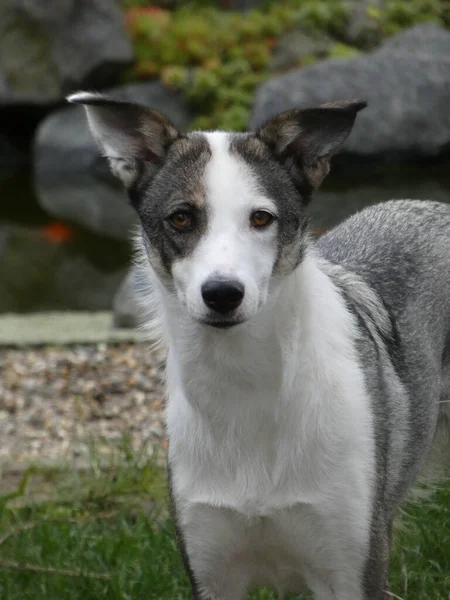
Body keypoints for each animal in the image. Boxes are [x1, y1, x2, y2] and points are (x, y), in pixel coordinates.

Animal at [68, 90, 448, 600]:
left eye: (261, 218)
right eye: (181, 218)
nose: (222, 293)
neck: (247, 389)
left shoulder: (352, 569)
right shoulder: (211, 570)